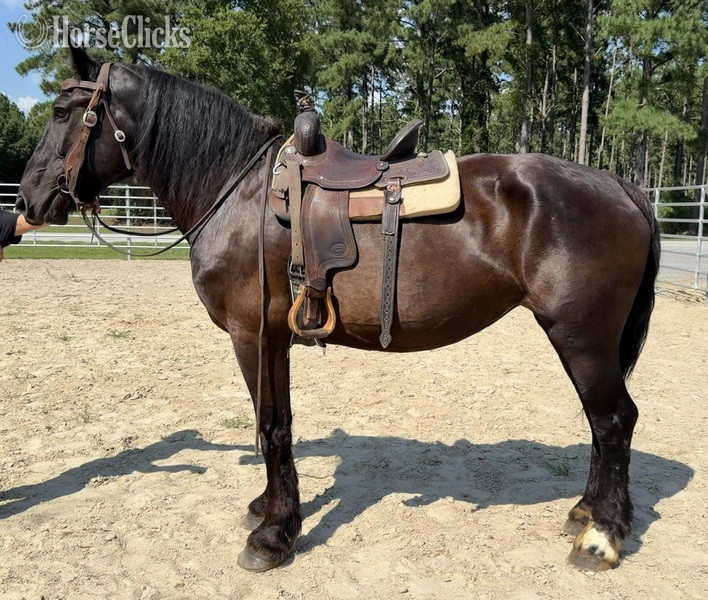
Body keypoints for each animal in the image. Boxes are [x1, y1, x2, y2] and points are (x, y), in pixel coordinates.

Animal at [16, 47, 660, 573]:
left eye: (61, 112)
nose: (27, 201)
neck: (236, 192)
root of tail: (619, 185)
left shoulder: (253, 333)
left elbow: (272, 426)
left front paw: (274, 536)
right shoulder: (271, 336)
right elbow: (273, 423)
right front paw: (271, 510)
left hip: (580, 335)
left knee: (613, 420)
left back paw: (602, 537)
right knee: (602, 425)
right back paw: (586, 512)